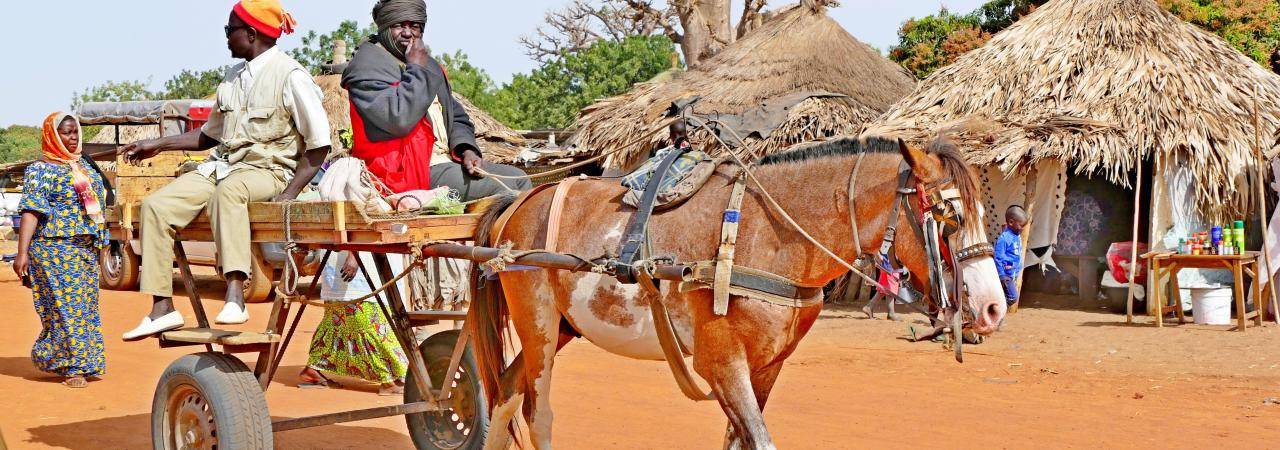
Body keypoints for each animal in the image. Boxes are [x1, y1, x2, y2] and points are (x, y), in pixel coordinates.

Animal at [465, 135, 1003, 447]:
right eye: (950, 217)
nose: (993, 306)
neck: (768, 236)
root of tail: (521, 198)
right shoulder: (721, 363)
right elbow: (759, 441)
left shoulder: (767, 365)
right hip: (537, 325)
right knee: (537, 412)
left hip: (562, 327)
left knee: (506, 393)